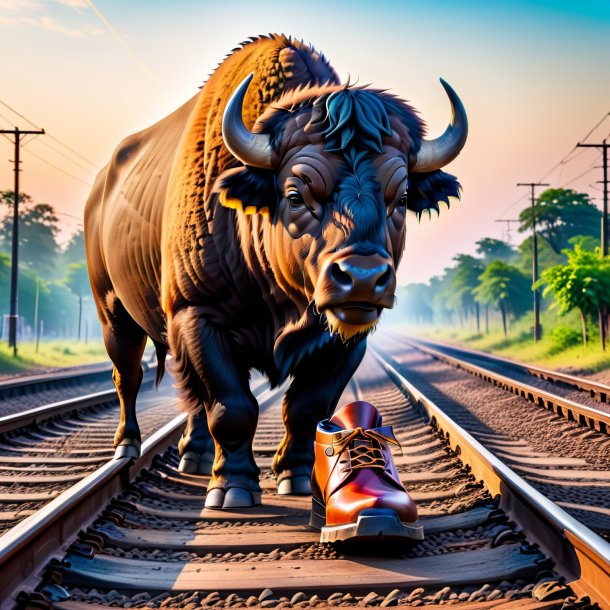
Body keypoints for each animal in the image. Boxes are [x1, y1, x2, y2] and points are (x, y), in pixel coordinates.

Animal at [84, 34, 466, 508]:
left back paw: (195, 454)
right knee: (128, 377)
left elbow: (306, 407)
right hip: (113, 313)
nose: (361, 278)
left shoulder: (345, 339)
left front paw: (296, 476)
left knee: (188, 396)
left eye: (402, 197)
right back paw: (127, 448)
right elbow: (232, 407)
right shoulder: (196, 315)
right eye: (296, 194)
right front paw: (232, 487)